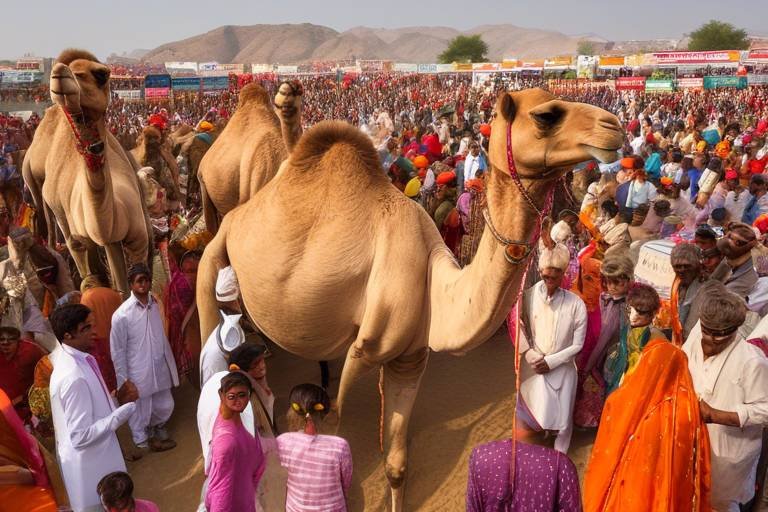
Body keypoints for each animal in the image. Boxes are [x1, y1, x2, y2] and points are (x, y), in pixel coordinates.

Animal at [22, 49, 150, 296]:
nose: (59, 72)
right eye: (66, 68)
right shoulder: (88, 238)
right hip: (40, 189)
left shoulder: (135, 239)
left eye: (101, 74)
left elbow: (129, 281)